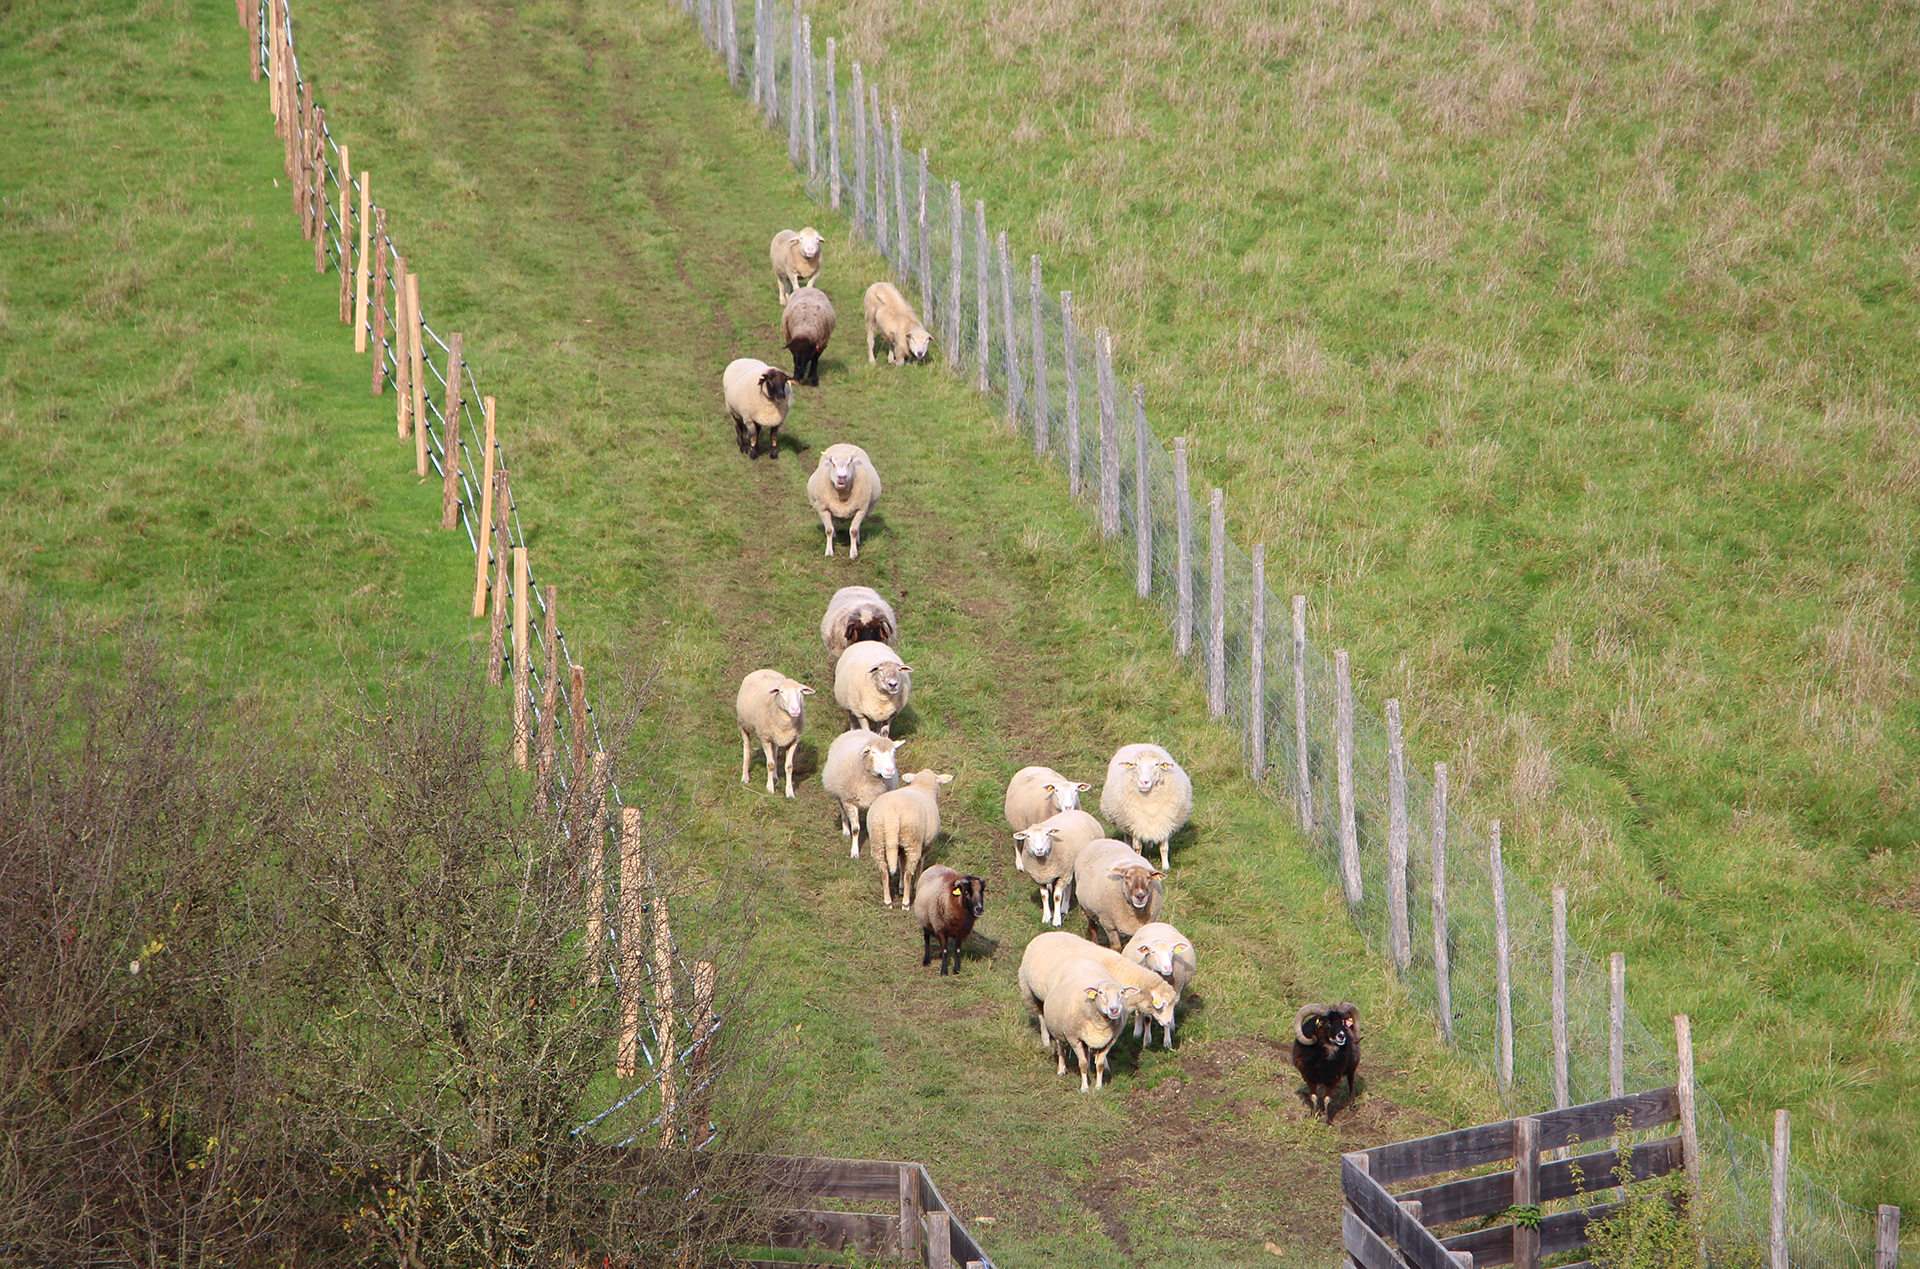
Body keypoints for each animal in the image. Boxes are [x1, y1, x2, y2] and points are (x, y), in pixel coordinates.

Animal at [733, 669, 815, 799]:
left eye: (800, 692)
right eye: (781, 692)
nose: (795, 710)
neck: (786, 724)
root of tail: (764, 670)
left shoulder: (794, 740)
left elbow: (789, 766)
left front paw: (789, 792)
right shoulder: (765, 738)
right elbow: (770, 764)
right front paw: (770, 788)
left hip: (775, 736)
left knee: (774, 751)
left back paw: (775, 776)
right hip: (743, 726)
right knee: (747, 750)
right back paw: (745, 777)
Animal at [820, 728, 903, 858]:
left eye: (893, 751)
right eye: (873, 752)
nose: (890, 770)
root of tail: (858, 730)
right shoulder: (849, 801)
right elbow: (856, 829)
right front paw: (854, 851)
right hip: (839, 792)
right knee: (842, 809)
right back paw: (845, 829)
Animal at [867, 768, 952, 910]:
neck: (922, 786)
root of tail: (892, 814)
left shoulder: (901, 847)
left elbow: (901, 864)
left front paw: (900, 887)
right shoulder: (925, 846)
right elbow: (919, 865)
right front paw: (917, 886)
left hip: (878, 838)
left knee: (884, 871)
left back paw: (888, 901)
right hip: (912, 840)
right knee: (908, 873)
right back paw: (906, 903)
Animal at [1019, 931, 1179, 1047]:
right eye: (1163, 1004)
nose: (1169, 1023)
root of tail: (1042, 935)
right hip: (1030, 990)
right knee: (1041, 1016)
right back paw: (1046, 1040)